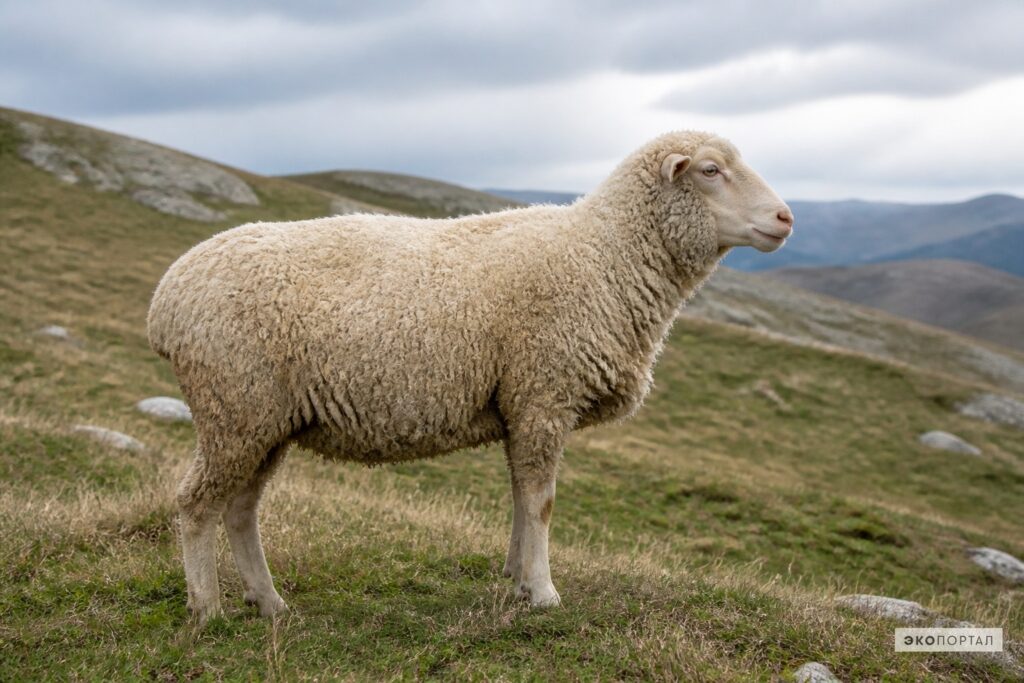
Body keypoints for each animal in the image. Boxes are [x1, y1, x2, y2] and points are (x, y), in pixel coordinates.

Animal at [147, 130, 794, 623]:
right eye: (710, 170)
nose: (786, 218)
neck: (604, 257)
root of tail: (166, 300)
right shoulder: (543, 392)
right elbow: (542, 503)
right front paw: (544, 593)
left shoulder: (521, 405)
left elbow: (521, 499)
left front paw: (517, 578)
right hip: (235, 407)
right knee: (196, 504)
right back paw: (207, 609)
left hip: (266, 419)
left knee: (240, 509)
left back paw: (270, 602)